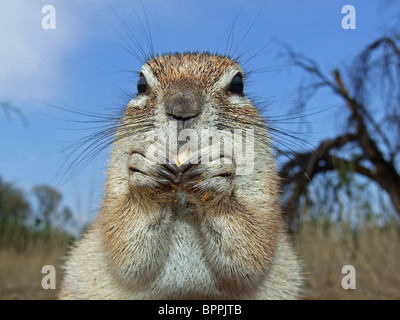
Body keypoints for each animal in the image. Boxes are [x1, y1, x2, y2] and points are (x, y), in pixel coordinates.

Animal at [59, 51, 302, 298]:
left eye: (237, 85)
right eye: (141, 84)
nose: (182, 110)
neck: (183, 203)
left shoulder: (263, 194)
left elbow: (255, 247)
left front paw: (213, 176)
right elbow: (122, 243)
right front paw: (148, 173)